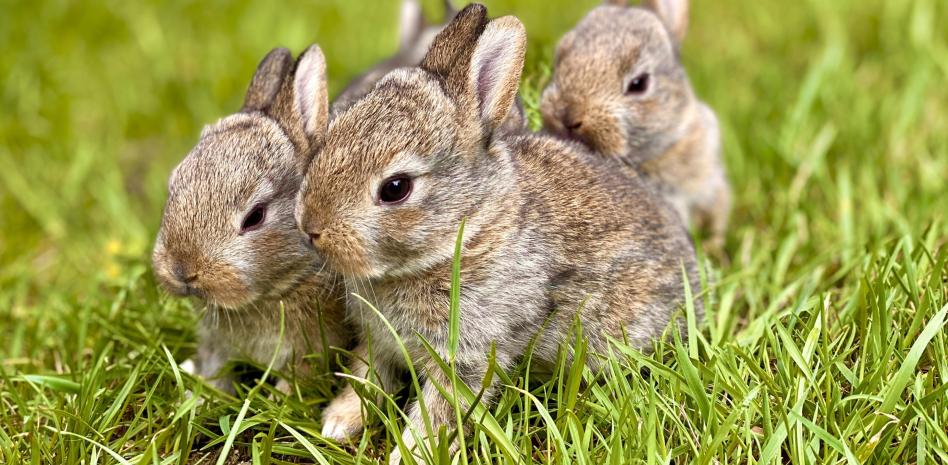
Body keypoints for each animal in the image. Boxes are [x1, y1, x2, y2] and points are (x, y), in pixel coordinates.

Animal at [293, 4, 701, 463]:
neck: (463, 234)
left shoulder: (467, 355)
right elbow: (365, 376)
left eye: (395, 188)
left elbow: (438, 411)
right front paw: (338, 422)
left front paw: (410, 453)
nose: (310, 227)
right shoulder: (378, 342)